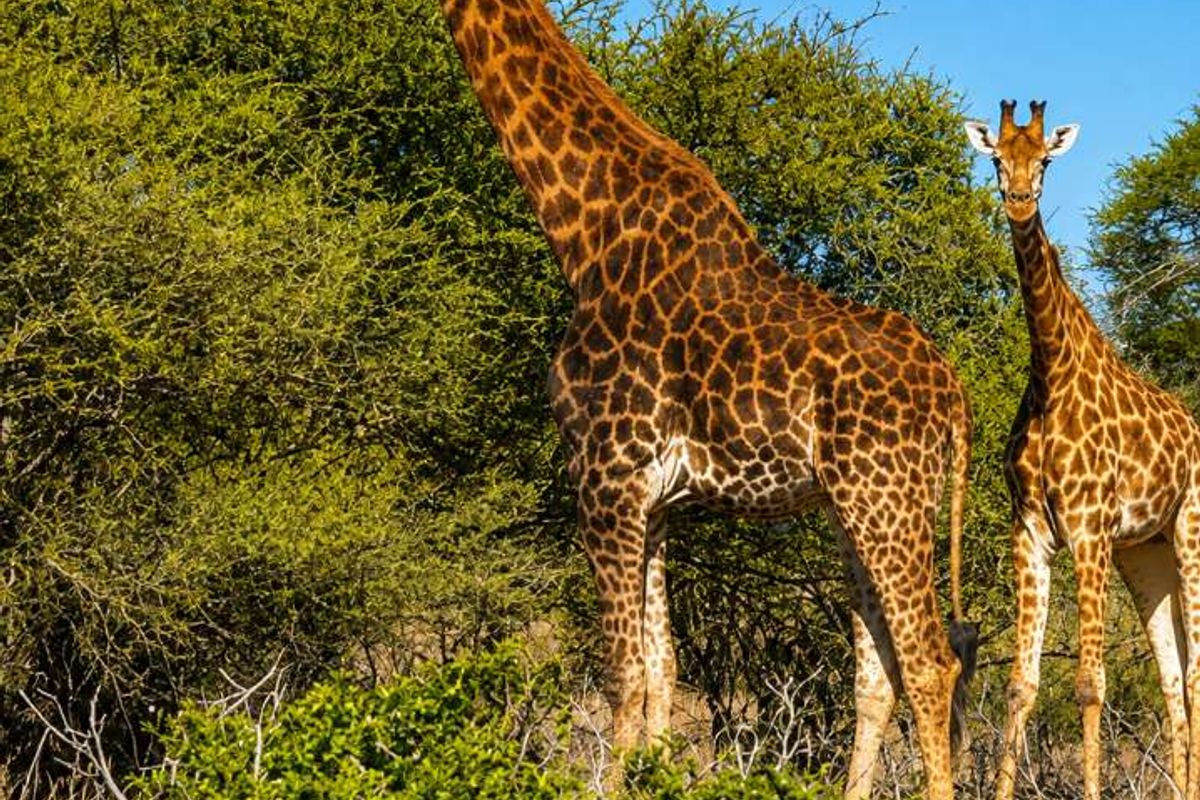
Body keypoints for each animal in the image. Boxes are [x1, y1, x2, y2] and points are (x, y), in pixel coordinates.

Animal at [440, 2, 978, 796]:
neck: (584, 232)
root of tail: (955, 398)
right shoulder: (655, 500)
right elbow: (663, 672)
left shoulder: (602, 473)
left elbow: (624, 673)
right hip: (861, 509)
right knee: (876, 672)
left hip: (886, 502)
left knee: (932, 665)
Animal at [966, 99, 1200, 800]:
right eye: (996, 158)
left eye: (1045, 159)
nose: (1019, 201)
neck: (1051, 374)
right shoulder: (1032, 533)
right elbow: (1021, 684)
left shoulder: (1090, 530)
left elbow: (1090, 685)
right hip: (1145, 554)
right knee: (1174, 678)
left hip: (1188, 533)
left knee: (1195, 675)